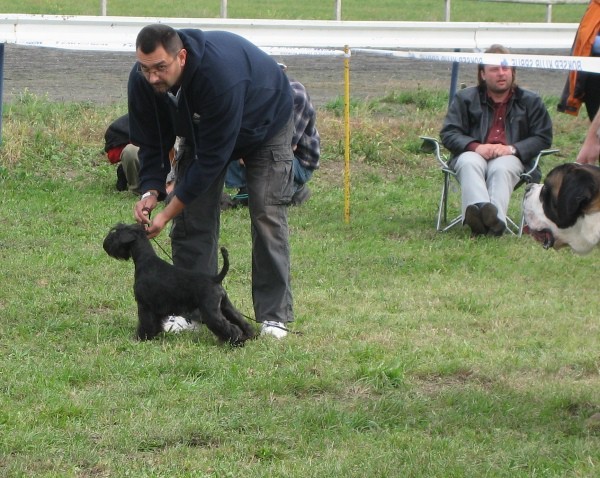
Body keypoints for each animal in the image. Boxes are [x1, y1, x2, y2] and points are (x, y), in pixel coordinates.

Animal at [103, 224, 255, 344]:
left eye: (116, 232)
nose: (105, 244)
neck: (145, 260)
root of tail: (215, 279)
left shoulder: (145, 305)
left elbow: (145, 323)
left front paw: (141, 338)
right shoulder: (156, 308)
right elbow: (156, 323)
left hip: (210, 311)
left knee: (229, 327)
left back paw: (236, 341)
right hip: (225, 306)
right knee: (240, 320)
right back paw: (249, 335)